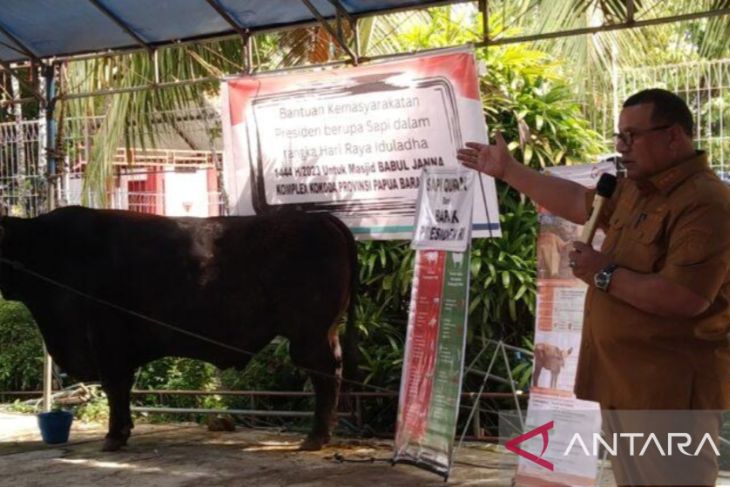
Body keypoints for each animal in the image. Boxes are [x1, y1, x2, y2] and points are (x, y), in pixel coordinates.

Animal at [0, 205, 356, 450]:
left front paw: (113, 437)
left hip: (308, 334)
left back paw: (315, 438)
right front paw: (123, 432)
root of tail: (318, 219)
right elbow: (123, 390)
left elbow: (115, 387)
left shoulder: (106, 339)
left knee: (324, 375)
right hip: (323, 332)